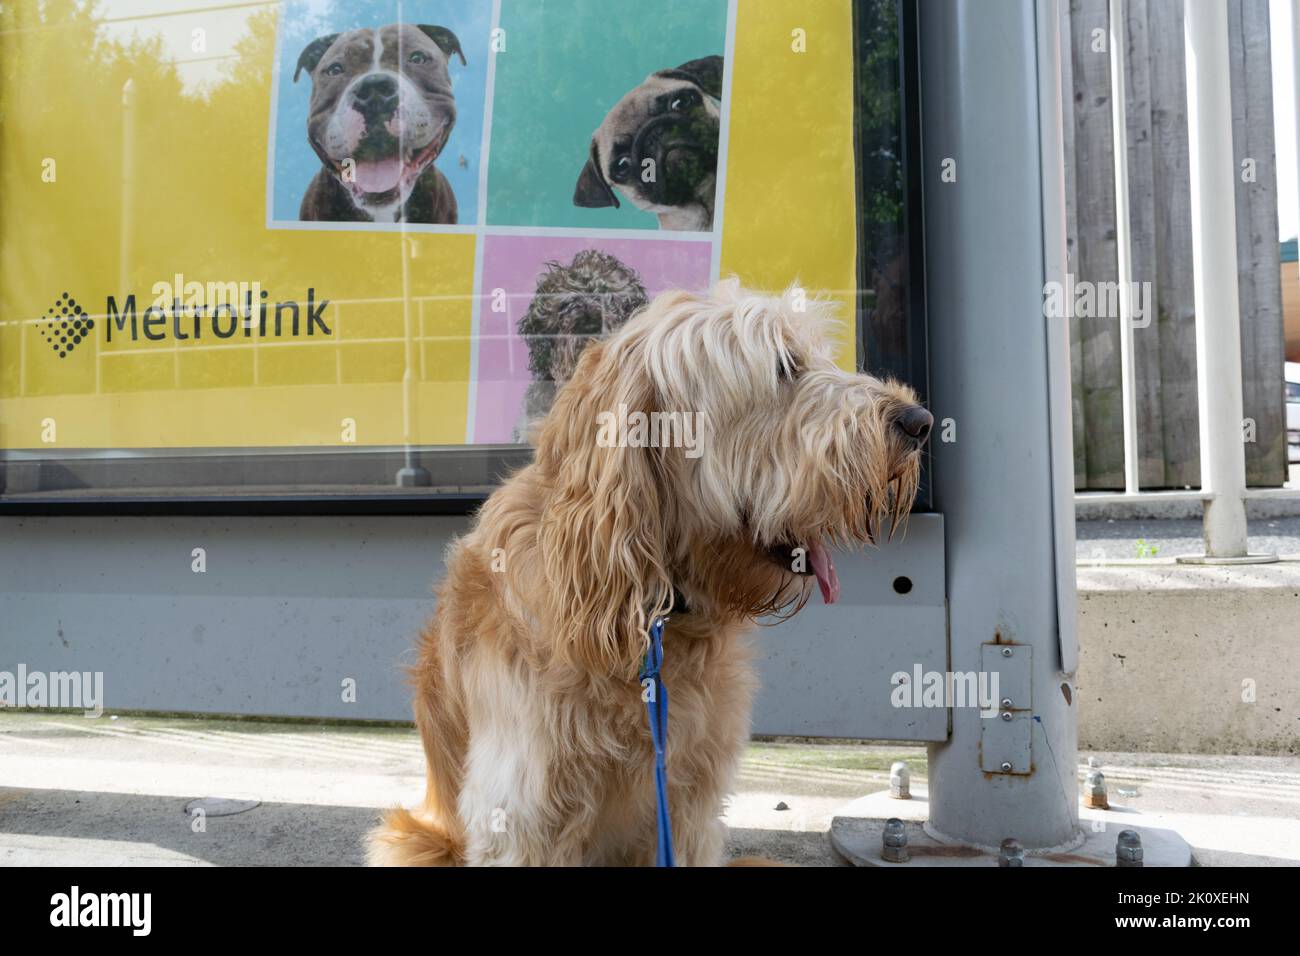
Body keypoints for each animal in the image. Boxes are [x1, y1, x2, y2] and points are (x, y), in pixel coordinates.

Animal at [371, 278, 930, 868]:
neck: (655, 609)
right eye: (783, 366)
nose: (920, 422)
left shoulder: (689, 805)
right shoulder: (520, 813)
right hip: (411, 841)